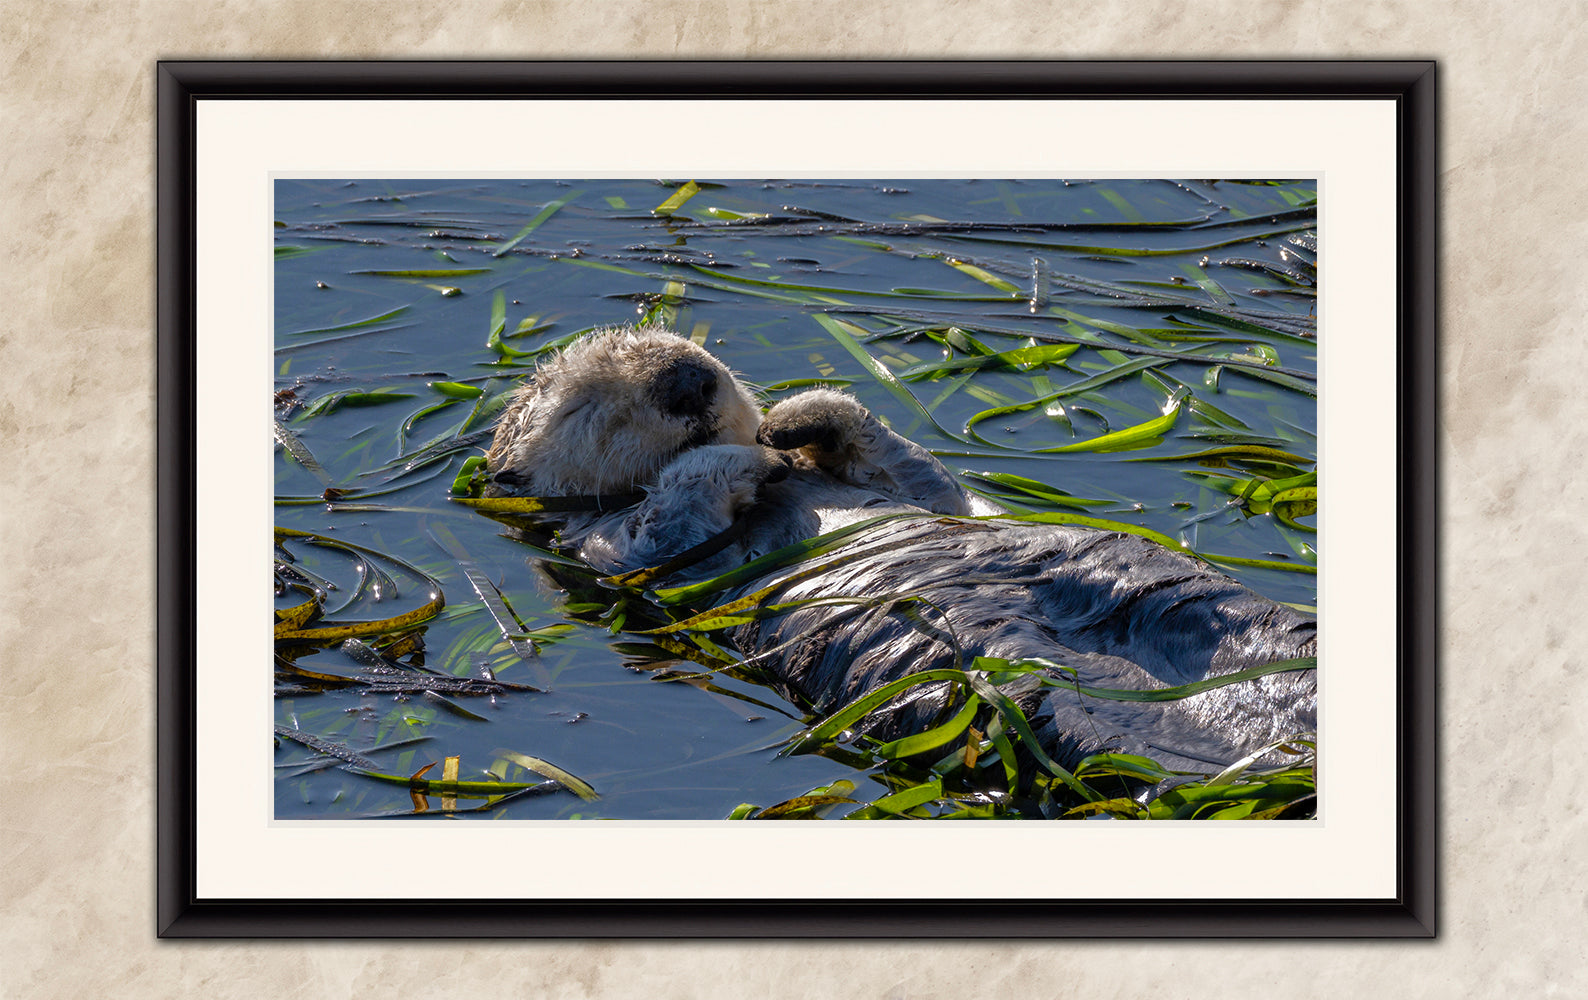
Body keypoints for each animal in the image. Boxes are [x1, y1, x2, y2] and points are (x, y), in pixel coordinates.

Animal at [483, 325, 1317, 788]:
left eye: (693, 349)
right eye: (583, 406)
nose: (687, 379)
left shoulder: (926, 492)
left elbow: (922, 476)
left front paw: (794, 419)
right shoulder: (615, 551)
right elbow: (665, 525)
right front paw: (744, 457)